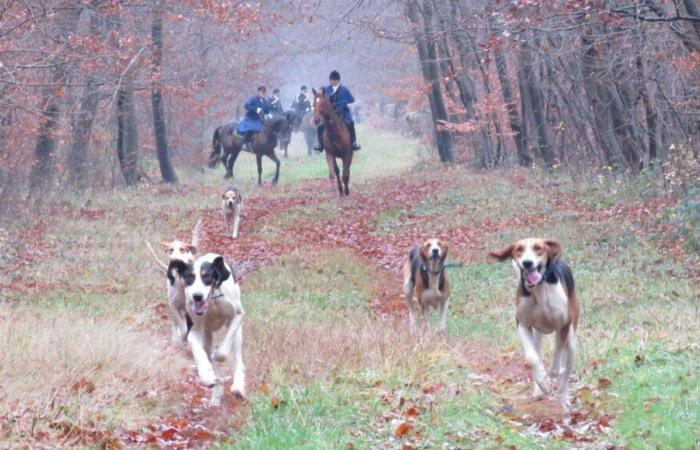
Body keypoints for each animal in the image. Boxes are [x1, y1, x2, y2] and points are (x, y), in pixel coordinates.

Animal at [167, 253, 246, 404]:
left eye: (207, 276)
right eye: (189, 276)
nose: (197, 296)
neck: (213, 300)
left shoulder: (237, 316)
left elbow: (223, 351)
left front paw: (218, 354)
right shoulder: (194, 329)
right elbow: (198, 353)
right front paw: (206, 375)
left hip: (237, 334)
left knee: (238, 359)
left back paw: (238, 386)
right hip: (206, 334)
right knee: (209, 357)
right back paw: (216, 388)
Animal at [486, 237, 580, 410]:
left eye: (538, 248)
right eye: (519, 250)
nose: (527, 263)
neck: (539, 290)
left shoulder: (563, 325)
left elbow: (557, 360)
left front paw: (551, 376)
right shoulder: (522, 324)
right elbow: (532, 358)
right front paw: (543, 382)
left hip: (572, 341)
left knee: (565, 371)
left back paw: (563, 398)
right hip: (537, 335)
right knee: (537, 356)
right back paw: (539, 389)